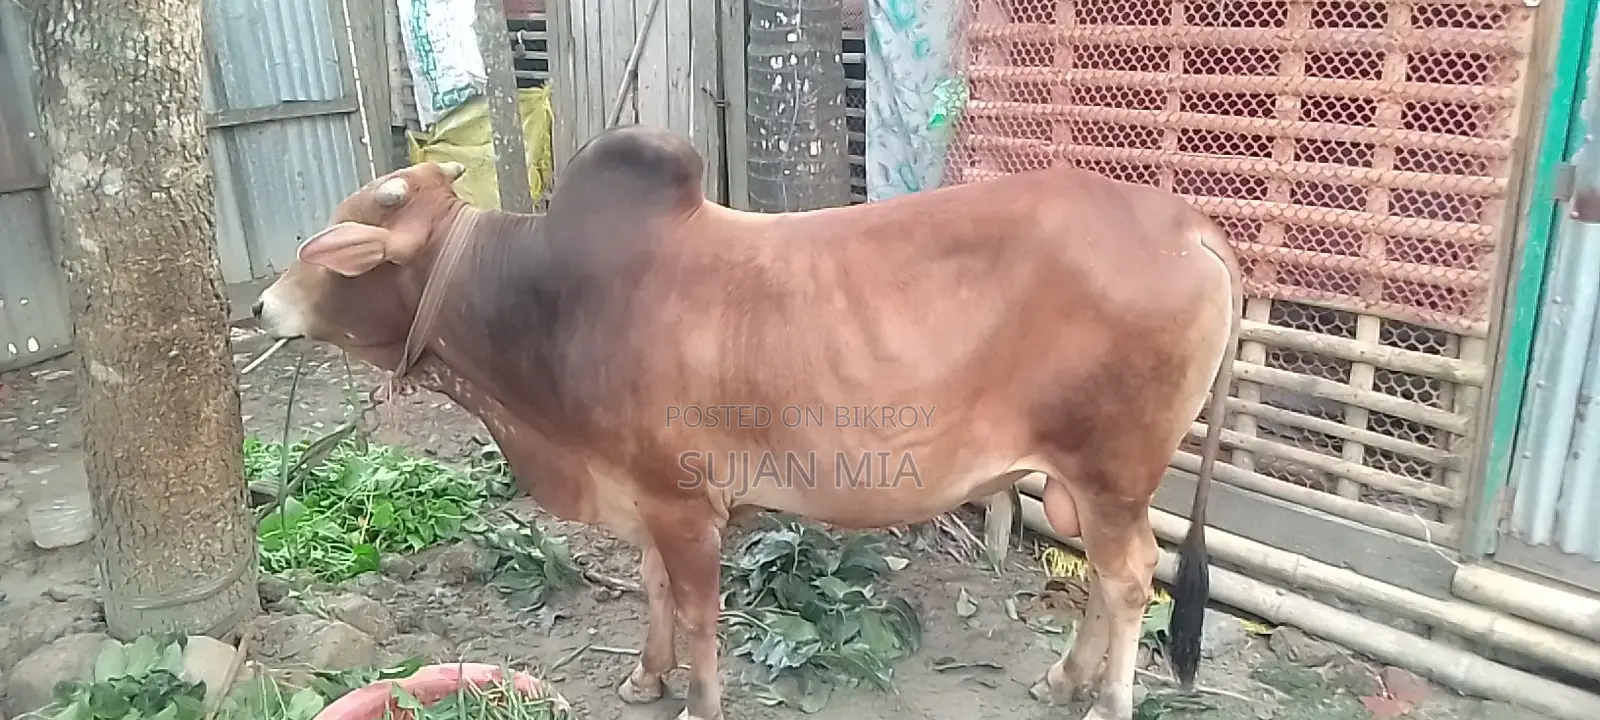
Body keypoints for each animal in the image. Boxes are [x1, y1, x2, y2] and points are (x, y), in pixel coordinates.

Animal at [252, 124, 1242, 720]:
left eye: (333, 250)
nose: (261, 306)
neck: (548, 301)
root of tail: (1186, 223)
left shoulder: (687, 507)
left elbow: (697, 613)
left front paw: (696, 698)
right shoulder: (645, 496)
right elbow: (653, 590)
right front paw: (642, 676)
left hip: (1111, 473)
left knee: (1130, 580)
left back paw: (1106, 699)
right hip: (1087, 481)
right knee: (1107, 580)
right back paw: (1064, 678)